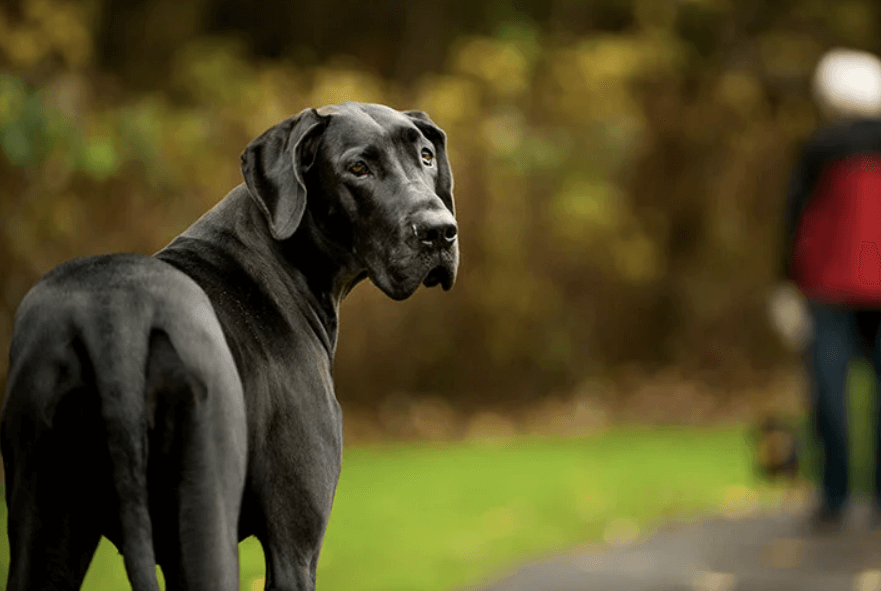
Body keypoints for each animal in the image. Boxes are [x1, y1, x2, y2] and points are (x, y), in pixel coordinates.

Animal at [0, 104, 454, 588]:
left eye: (425, 156)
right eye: (358, 168)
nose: (441, 232)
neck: (280, 255)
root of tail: (114, 319)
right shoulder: (294, 550)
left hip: (47, 530)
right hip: (206, 518)